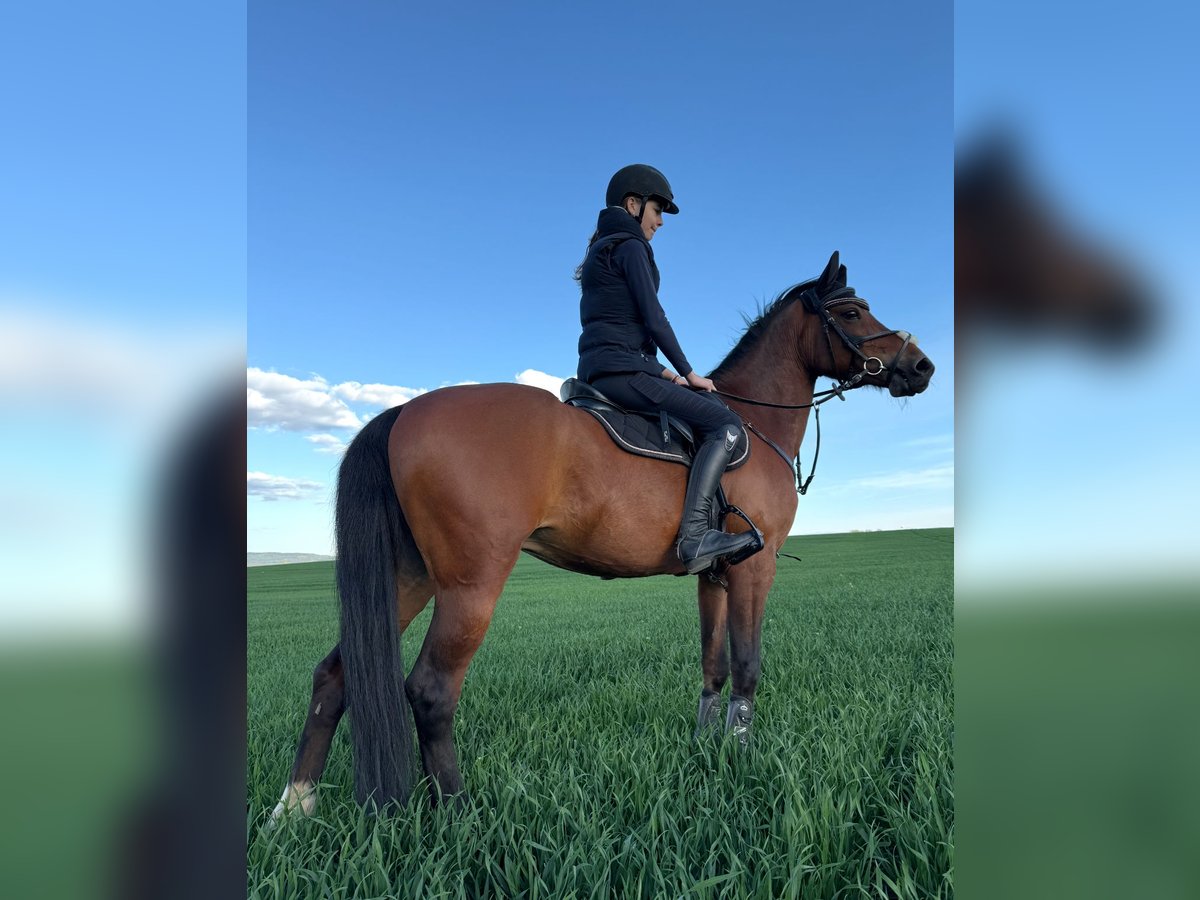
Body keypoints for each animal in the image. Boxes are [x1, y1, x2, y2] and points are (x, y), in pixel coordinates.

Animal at [269, 251, 935, 818]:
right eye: (852, 312)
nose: (921, 366)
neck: (750, 420)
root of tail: (403, 410)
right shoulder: (755, 567)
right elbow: (747, 666)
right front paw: (744, 759)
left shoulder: (715, 576)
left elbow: (713, 667)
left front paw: (707, 751)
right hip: (469, 586)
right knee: (431, 691)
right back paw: (456, 812)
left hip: (407, 576)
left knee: (334, 675)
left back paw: (294, 807)